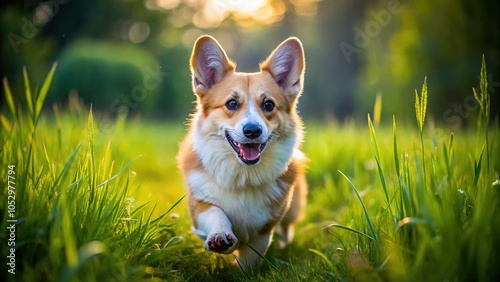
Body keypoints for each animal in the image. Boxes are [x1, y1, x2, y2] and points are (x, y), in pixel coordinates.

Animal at [178, 35, 306, 268]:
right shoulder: (198, 206)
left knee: (287, 229)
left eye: (268, 105)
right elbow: (215, 212)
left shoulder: (264, 231)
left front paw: (241, 269)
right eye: (231, 103)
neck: (242, 174)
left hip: (293, 209)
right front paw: (220, 237)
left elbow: (249, 259)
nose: (253, 131)